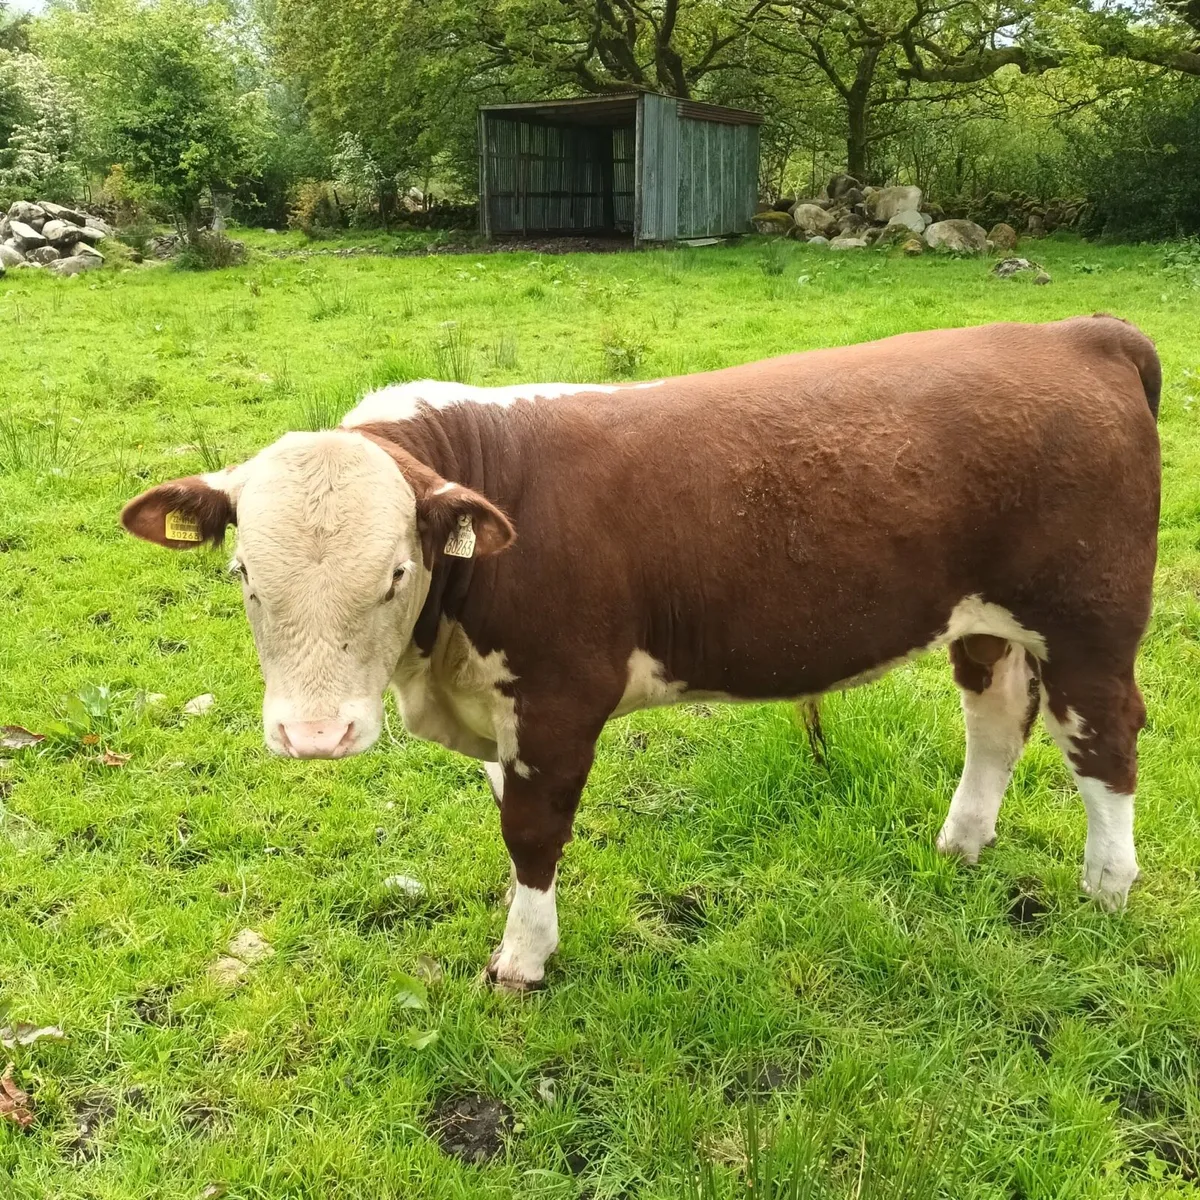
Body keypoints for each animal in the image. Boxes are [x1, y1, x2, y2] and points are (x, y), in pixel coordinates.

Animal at [121, 315, 1162, 990]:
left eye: (395, 571)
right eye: (244, 574)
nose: (314, 737)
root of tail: (1080, 330)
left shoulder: (557, 701)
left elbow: (532, 833)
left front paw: (523, 962)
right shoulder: (501, 710)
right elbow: (509, 820)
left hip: (1092, 619)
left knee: (1104, 740)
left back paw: (1107, 889)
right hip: (987, 618)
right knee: (995, 718)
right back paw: (961, 847)